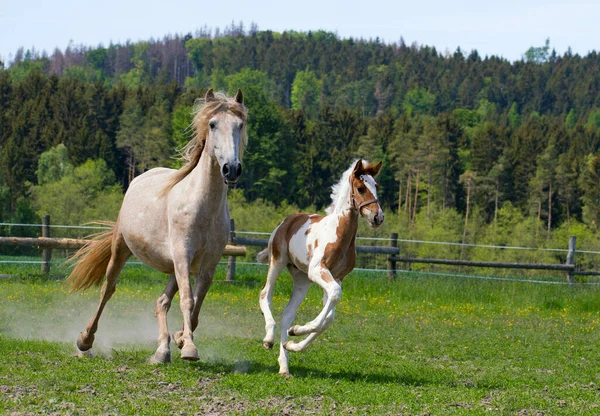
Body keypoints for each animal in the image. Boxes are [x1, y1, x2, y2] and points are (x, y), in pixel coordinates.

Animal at [258, 158, 384, 376]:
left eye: (376, 186)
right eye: (360, 188)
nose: (378, 217)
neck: (339, 234)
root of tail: (288, 220)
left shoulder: (337, 276)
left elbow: (329, 318)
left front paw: (295, 337)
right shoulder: (318, 271)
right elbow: (333, 296)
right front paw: (299, 330)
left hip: (301, 279)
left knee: (287, 313)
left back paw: (284, 364)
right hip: (278, 261)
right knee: (265, 294)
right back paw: (269, 339)